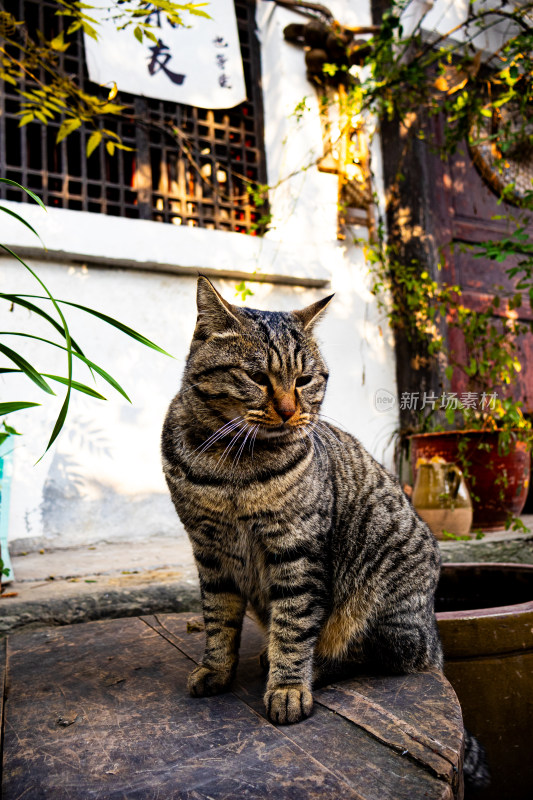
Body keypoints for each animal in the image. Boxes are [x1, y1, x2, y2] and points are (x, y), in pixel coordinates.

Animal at [162, 276, 486, 780]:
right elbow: (218, 618)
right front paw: (215, 669)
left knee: (372, 654)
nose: (288, 409)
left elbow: (295, 625)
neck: (233, 466)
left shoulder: (297, 549)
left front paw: (289, 687)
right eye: (258, 378)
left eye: (304, 380)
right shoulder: (209, 551)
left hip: (380, 594)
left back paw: (310, 667)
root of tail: (433, 635)